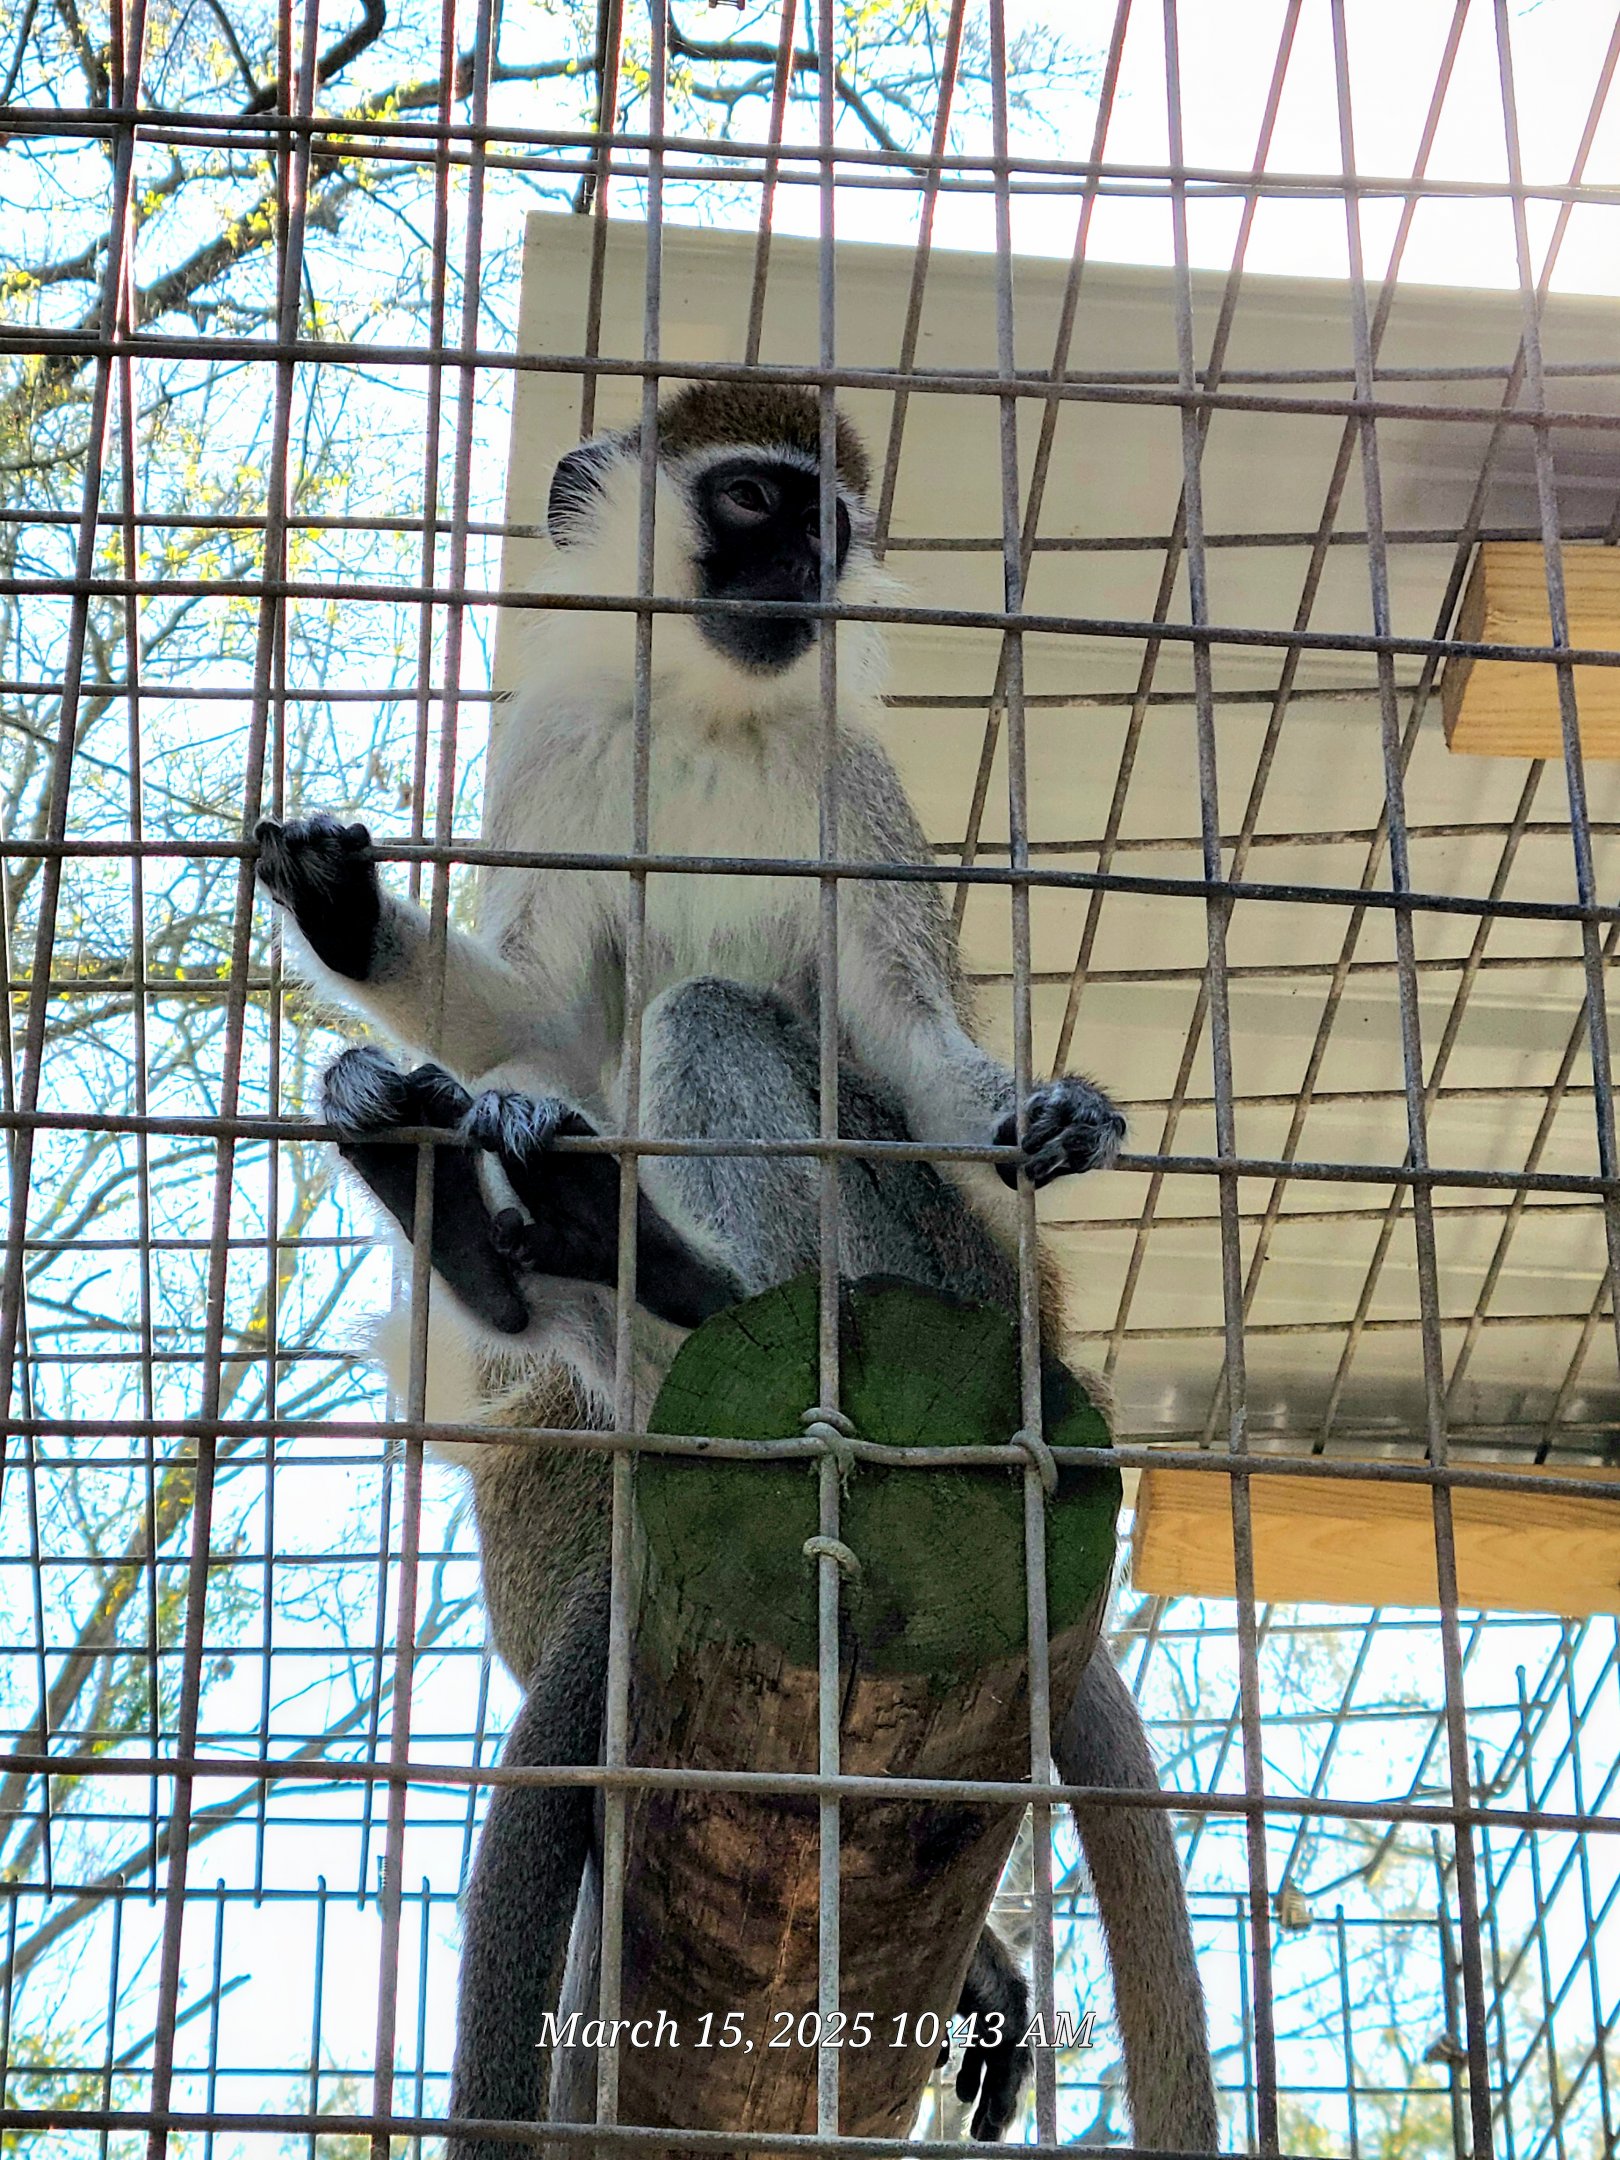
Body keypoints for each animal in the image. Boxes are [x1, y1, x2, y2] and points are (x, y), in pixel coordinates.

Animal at [254, 380, 1217, 2155]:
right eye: (755, 503)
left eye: (826, 523)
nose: (802, 573)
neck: (711, 710)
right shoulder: (565, 762)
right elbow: (539, 1014)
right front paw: (349, 916)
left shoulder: (857, 795)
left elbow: (900, 1032)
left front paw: (1034, 1113)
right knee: (583, 1093)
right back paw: (509, 1239)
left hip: (940, 1278)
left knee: (711, 1025)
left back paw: (716, 1305)